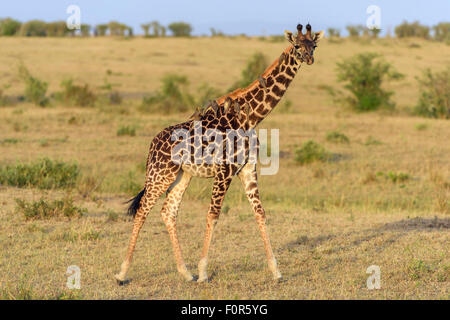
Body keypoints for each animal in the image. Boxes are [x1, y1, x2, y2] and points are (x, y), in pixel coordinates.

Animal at [115, 23, 324, 284]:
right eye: (296, 45)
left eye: (313, 45)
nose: (309, 58)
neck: (250, 118)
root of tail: (152, 144)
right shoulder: (224, 171)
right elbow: (213, 215)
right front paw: (204, 271)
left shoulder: (247, 169)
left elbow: (260, 213)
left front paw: (276, 271)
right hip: (160, 174)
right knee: (143, 210)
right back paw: (122, 273)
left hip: (182, 176)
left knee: (168, 212)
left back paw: (185, 272)